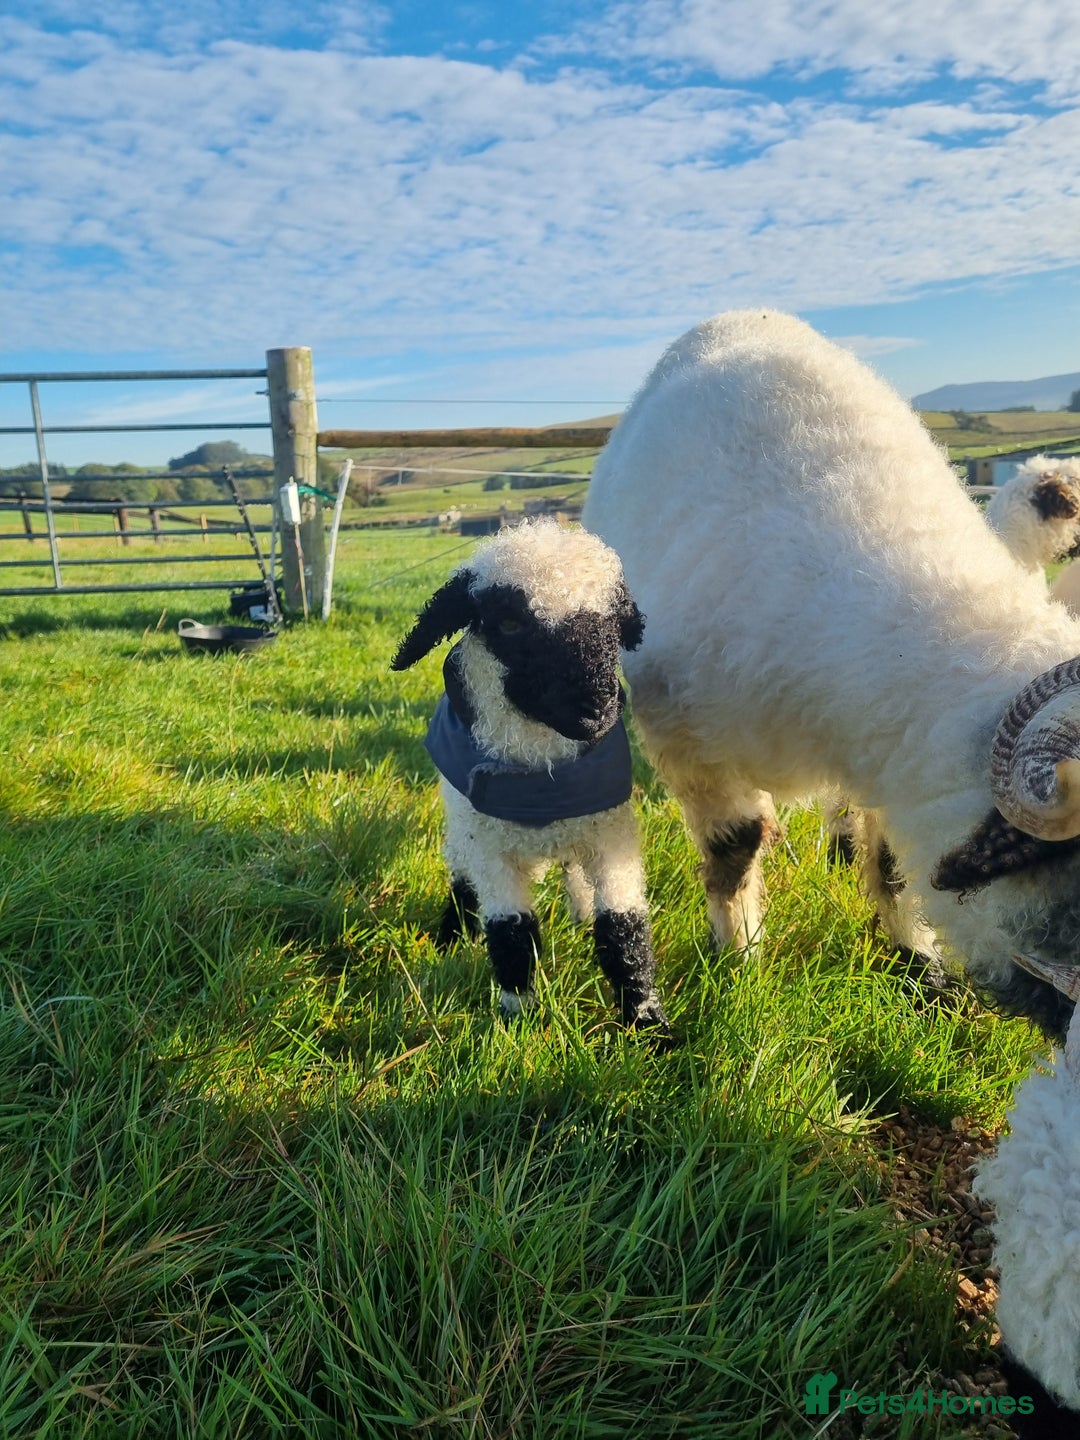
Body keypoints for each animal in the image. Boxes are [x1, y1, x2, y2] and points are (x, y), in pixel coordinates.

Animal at [391, 518, 671, 1037]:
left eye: (613, 623)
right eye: (509, 622)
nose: (595, 710)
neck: (542, 777)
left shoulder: (610, 833)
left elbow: (623, 926)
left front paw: (648, 1023)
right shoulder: (490, 847)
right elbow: (511, 931)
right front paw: (517, 1020)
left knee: (574, 876)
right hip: (461, 828)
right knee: (462, 877)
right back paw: (452, 934)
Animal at [582, 308, 1080, 1043]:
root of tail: (736, 313)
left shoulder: (888, 748)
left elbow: (894, 866)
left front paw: (919, 968)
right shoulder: (686, 738)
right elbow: (734, 851)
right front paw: (741, 963)